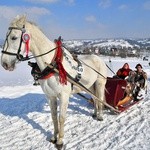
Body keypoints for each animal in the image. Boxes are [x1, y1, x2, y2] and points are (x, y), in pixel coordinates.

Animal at [0, 15, 107, 149]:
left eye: (14, 37)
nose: (4, 63)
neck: (53, 64)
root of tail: (99, 59)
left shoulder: (64, 96)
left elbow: (61, 118)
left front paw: (60, 141)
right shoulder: (50, 96)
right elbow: (54, 117)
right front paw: (54, 137)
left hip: (100, 83)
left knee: (100, 99)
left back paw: (100, 116)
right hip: (90, 86)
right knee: (95, 99)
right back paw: (95, 113)